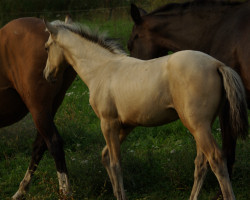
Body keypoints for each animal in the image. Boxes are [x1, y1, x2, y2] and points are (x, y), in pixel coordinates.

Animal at [0, 17, 76, 198]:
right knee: (40, 146)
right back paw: (21, 191)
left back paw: (65, 192)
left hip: (38, 108)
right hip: (49, 108)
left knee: (54, 143)